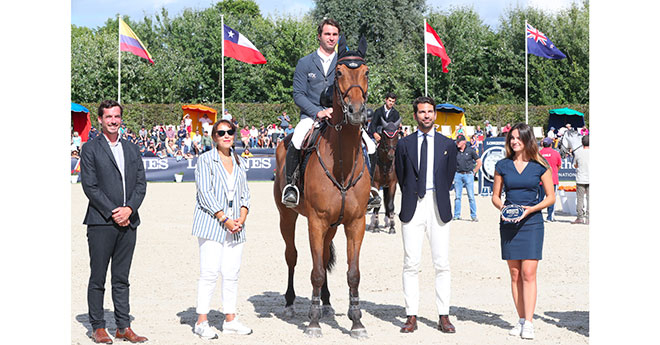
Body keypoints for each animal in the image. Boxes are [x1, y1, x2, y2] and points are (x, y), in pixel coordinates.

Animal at [270, 35, 368, 338]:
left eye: (366, 72)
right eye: (339, 73)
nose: (357, 112)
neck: (342, 162)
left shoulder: (355, 223)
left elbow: (352, 273)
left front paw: (357, 321)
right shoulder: (315, 221)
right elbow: (315, 272)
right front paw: (312, 322)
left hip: (333, 226)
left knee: (324, 257)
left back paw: (326, 303)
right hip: (287, 216)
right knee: (292, 256)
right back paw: (290, 303)